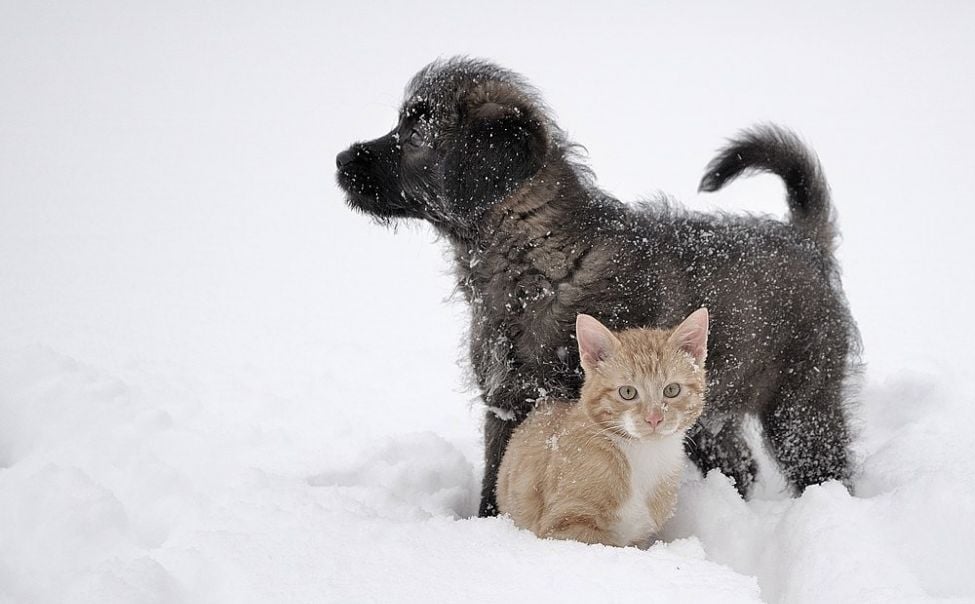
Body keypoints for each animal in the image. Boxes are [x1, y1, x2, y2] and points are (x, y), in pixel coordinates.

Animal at [336, 59, 860, 516]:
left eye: (415, 133)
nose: (341, 159)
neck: (537, 267)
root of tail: (803, 237)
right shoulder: (506, 406)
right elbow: (496, 481)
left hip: (801, 404)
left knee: (825, 468)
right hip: (709, 414)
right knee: (740, 466)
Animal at [496, 310, 708, 548]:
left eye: (672, 390)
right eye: (627, 392)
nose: (654, 418)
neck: (643, 454)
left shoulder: (639, 537)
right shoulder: (562, 525)